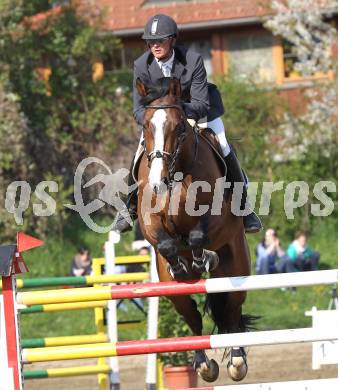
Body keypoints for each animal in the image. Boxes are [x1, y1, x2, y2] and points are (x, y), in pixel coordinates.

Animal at [135, 77, 254, 382]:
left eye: (179, 127)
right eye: (146, 125)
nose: (158, 180)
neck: (176, 173)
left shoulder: (218, 219)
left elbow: (199, 235)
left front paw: (202, 258)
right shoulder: (150, 223)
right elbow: (166, 243)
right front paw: (181, 264)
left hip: (236, 268)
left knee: (232, 310)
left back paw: (237, 361)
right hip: (172, 290)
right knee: (193, 317)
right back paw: (203, 365)